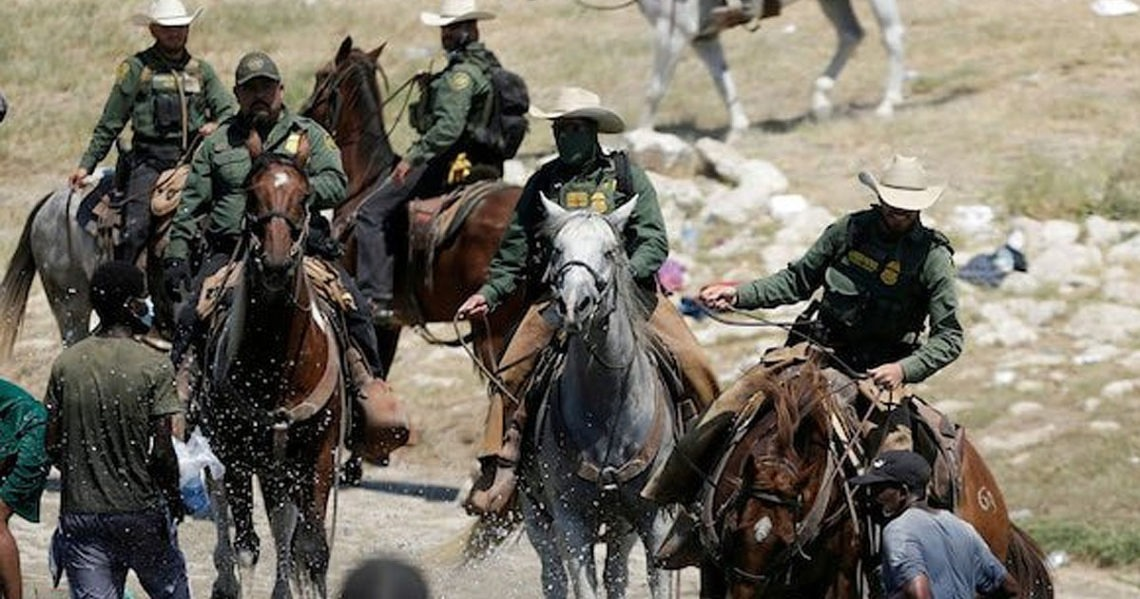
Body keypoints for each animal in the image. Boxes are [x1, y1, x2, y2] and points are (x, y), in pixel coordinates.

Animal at [205, 131, 344, 597]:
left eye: (305, 196)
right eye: (251, 193)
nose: (278, 261)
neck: (278, 361)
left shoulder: (319, 454)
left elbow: (313, 548)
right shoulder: (237, 456)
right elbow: (248, 545)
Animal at [300, 35, 526, 374]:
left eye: (321, 75)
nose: (301, 112)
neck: (367, 181)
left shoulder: (377, 319)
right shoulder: (393, 324)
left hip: (495, 324)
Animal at [633, 0, 907, 131]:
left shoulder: (672, 32)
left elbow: (655, 90)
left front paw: (642, 138)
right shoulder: (703, 37)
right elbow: (722, 80)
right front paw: (739, 128)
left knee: (892, 36)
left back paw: (888, 104)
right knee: (851, 34)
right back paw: (820, 99)